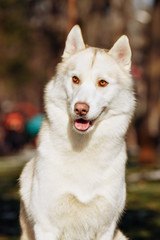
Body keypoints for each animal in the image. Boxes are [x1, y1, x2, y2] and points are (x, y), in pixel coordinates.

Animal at [19, 25, 136, 239]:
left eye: (102, 83)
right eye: (75, 79)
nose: (80, 108)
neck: (82, 149)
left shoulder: (106, 228)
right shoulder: (46, 226)